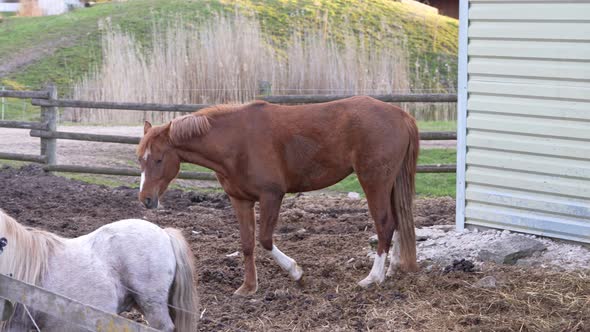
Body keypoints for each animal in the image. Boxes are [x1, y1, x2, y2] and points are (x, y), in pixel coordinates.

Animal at [139, 96, 420, 296]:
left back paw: (373, 278)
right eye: (140, 159)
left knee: (385, 224)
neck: (235, 142)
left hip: (375, 182)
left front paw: (296, 272)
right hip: (390, 183)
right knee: (397, 221)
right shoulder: (240, 200)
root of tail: (401, 114)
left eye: (159, 159)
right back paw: (392, 269)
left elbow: (264, 239)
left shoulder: (271, 195)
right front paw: (248, 287)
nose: (145, 199)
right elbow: (247, 243)